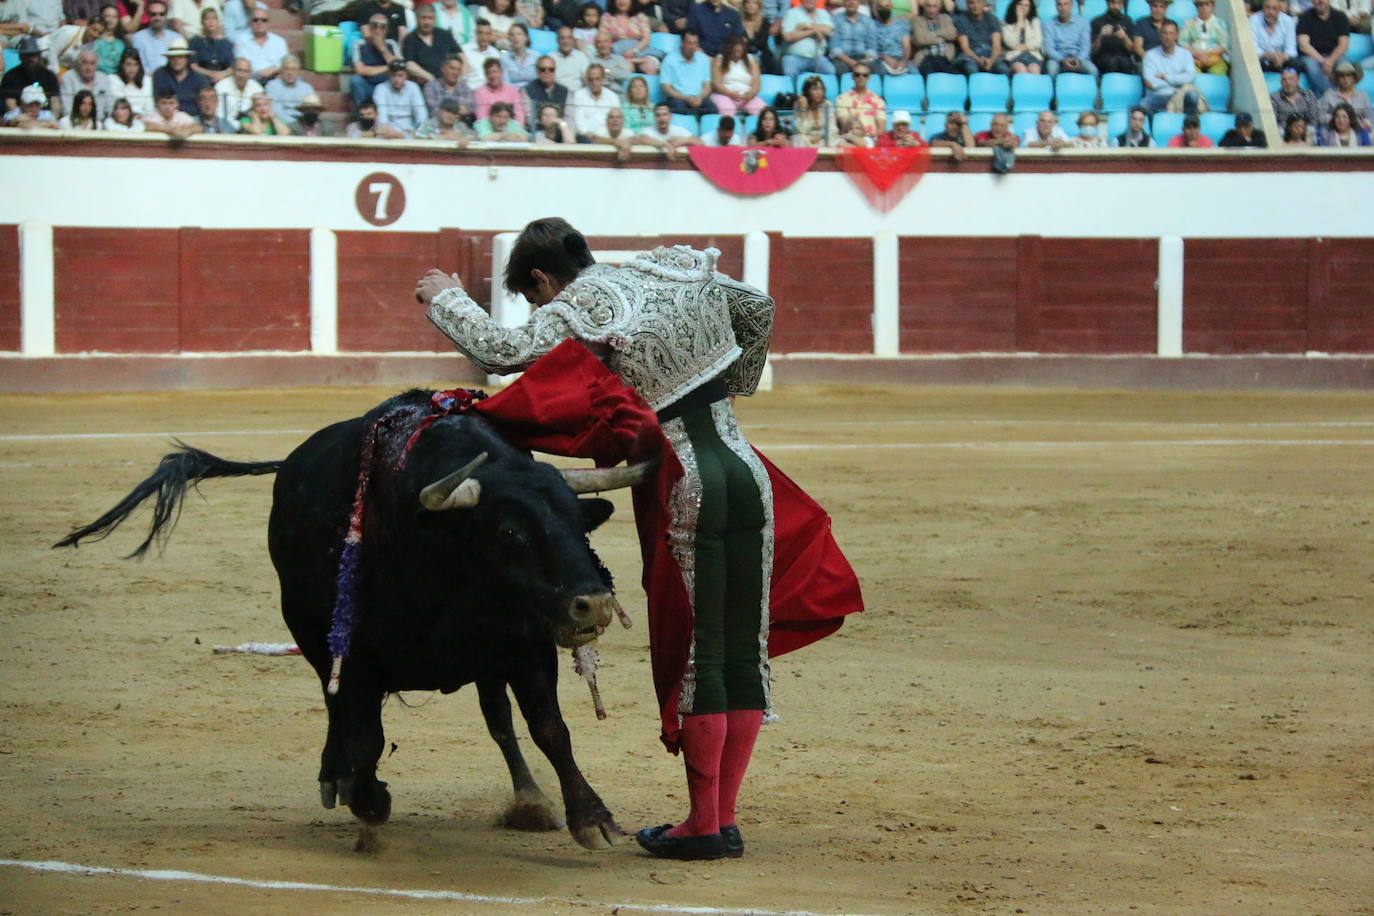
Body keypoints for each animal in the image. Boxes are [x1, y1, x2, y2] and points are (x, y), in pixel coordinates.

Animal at [54, 390, 654, 851]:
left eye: (579, 523)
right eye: (510, 531)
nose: (594, 603)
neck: (434, 542)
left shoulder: (523, 644)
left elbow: (549, 727)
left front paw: (592, 818)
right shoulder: (357, 656)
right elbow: (364, 735)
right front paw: (367, 799)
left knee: (497, 718)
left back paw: (529, 799)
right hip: (310, 632)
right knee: (335, 705)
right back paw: (336, 777)